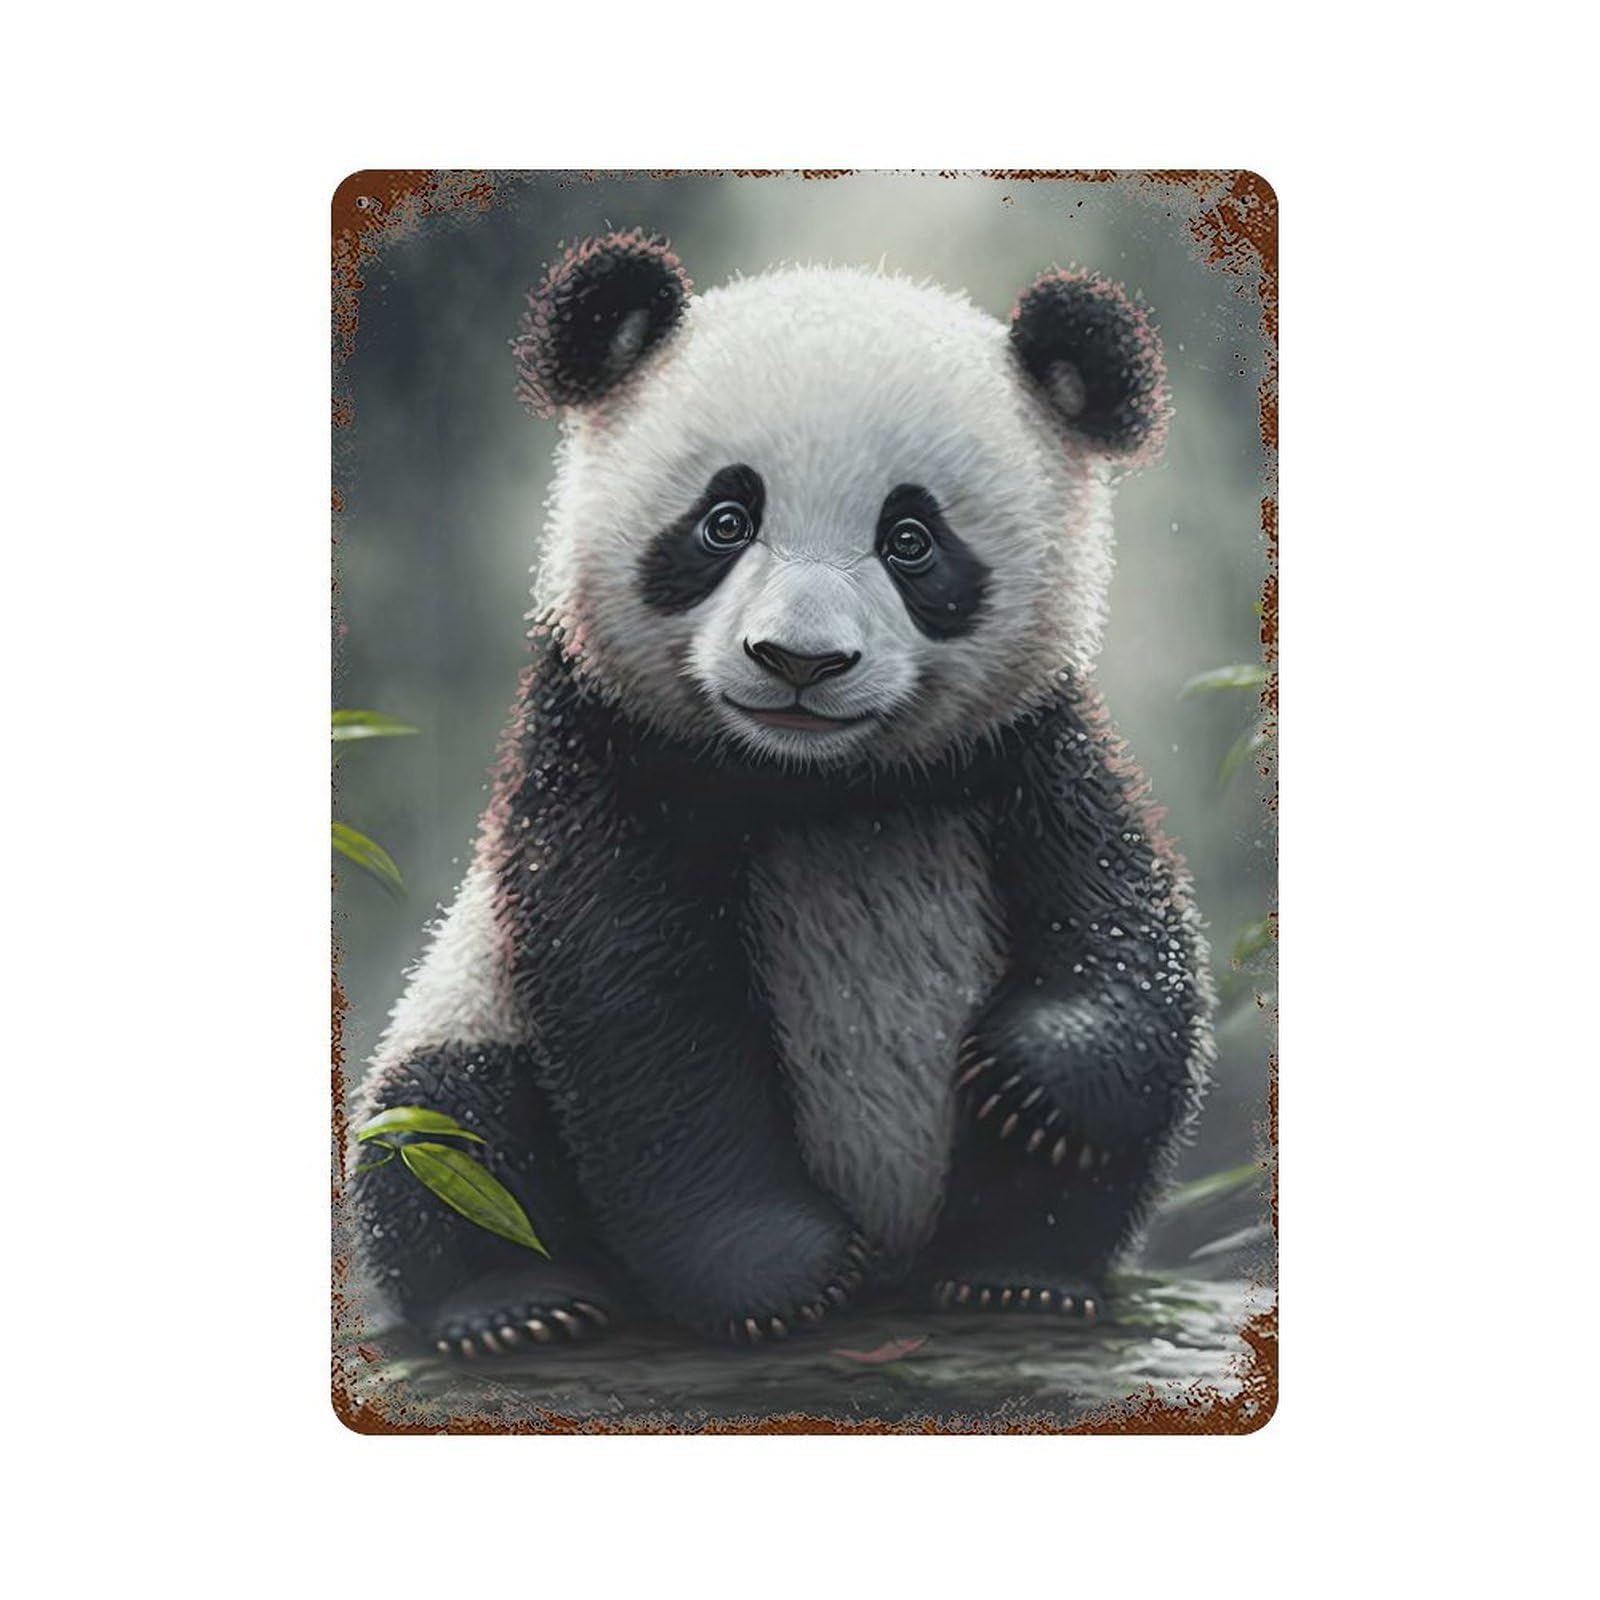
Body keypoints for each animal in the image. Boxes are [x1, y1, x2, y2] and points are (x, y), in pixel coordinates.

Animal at [351, 230, 1214, 1356]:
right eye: (724, 519)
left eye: (911, 540)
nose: (800, 660)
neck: (815, 783)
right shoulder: (606, 755)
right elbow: (639, 1004)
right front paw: (775, 1276)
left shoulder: (1023, 748)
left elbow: (1120, 909)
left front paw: (1038, 1080)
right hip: (463, 1017)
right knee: (442, 1130)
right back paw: (514, 1305)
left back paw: (1017, 1275)